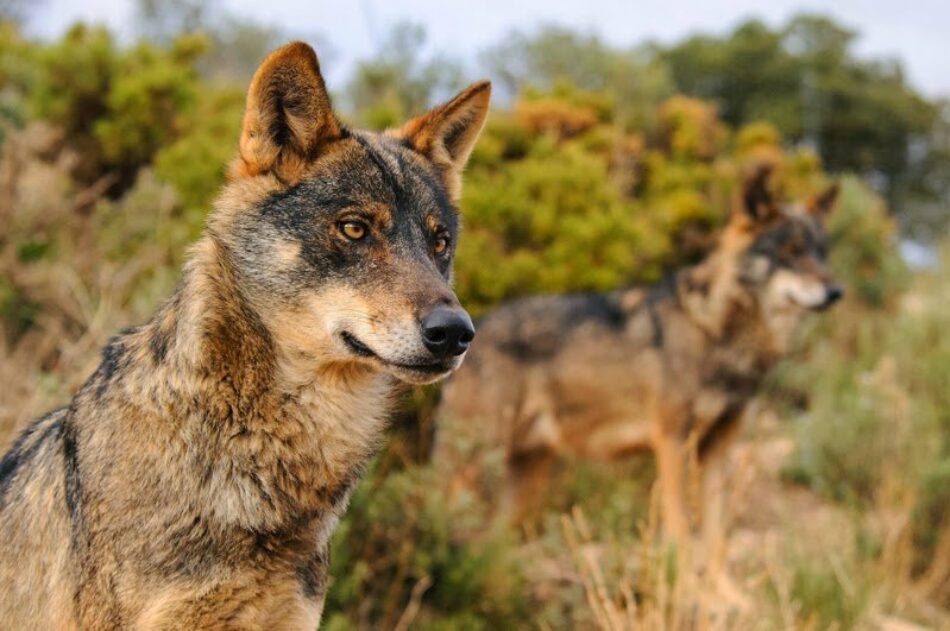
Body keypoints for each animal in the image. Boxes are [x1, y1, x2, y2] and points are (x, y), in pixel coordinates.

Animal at [436, 165, 844, 544]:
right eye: (790, 253)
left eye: (821, 254)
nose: (836, 292)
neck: (715, 329)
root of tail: (473, 328)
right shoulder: (672, 441)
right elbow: (681, 529)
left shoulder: (718, 449)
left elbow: (716, 538)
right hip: (475, 464)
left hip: (523, 477)